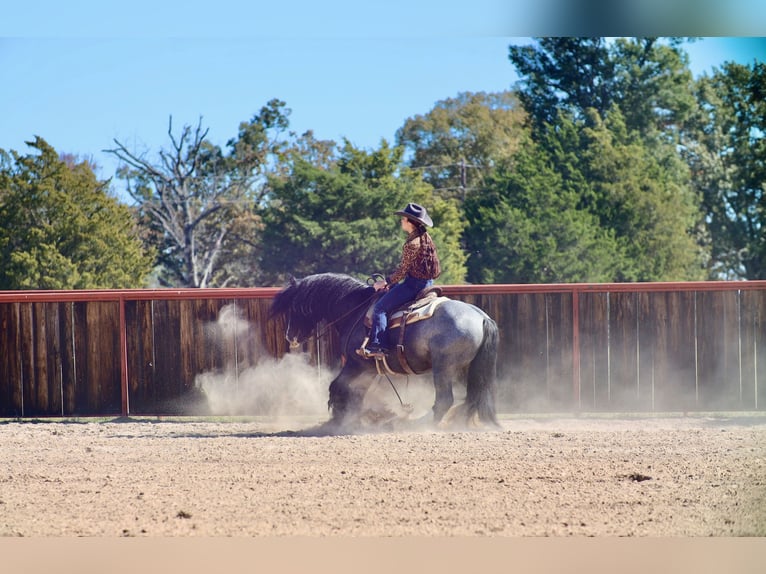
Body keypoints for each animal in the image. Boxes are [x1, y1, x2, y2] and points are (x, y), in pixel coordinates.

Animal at [269, 273, 500, 431]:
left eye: (294, 308)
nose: (289, 337)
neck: (355, 311)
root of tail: (482, 317)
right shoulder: (368, 369)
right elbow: (355, 393)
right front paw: (353, 419)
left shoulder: (355, 364)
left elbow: (337, 387)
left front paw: (339, 420)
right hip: (468, 368)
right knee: (473, 398)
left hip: (443, 368)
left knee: (444, 400)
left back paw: (413, 424)